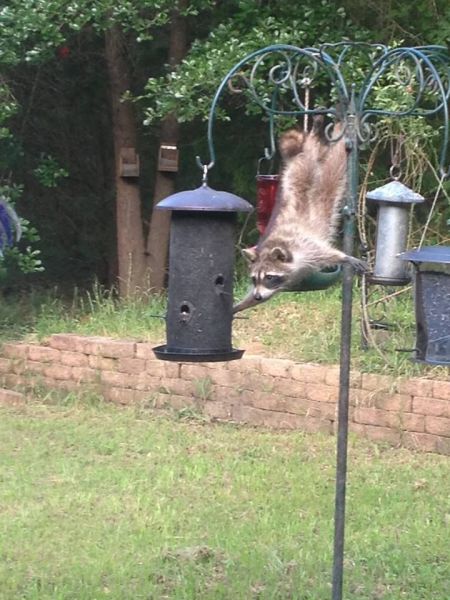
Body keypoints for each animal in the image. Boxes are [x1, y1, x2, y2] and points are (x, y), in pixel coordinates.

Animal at [234, 118, 368, 314]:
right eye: (254, 278)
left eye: (269, 277)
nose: (258, 296)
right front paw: (240, 305)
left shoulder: (305, 246)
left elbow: (327, 252)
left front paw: (345, 257)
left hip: (309, 172)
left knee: (332, 167)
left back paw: (331, 133)